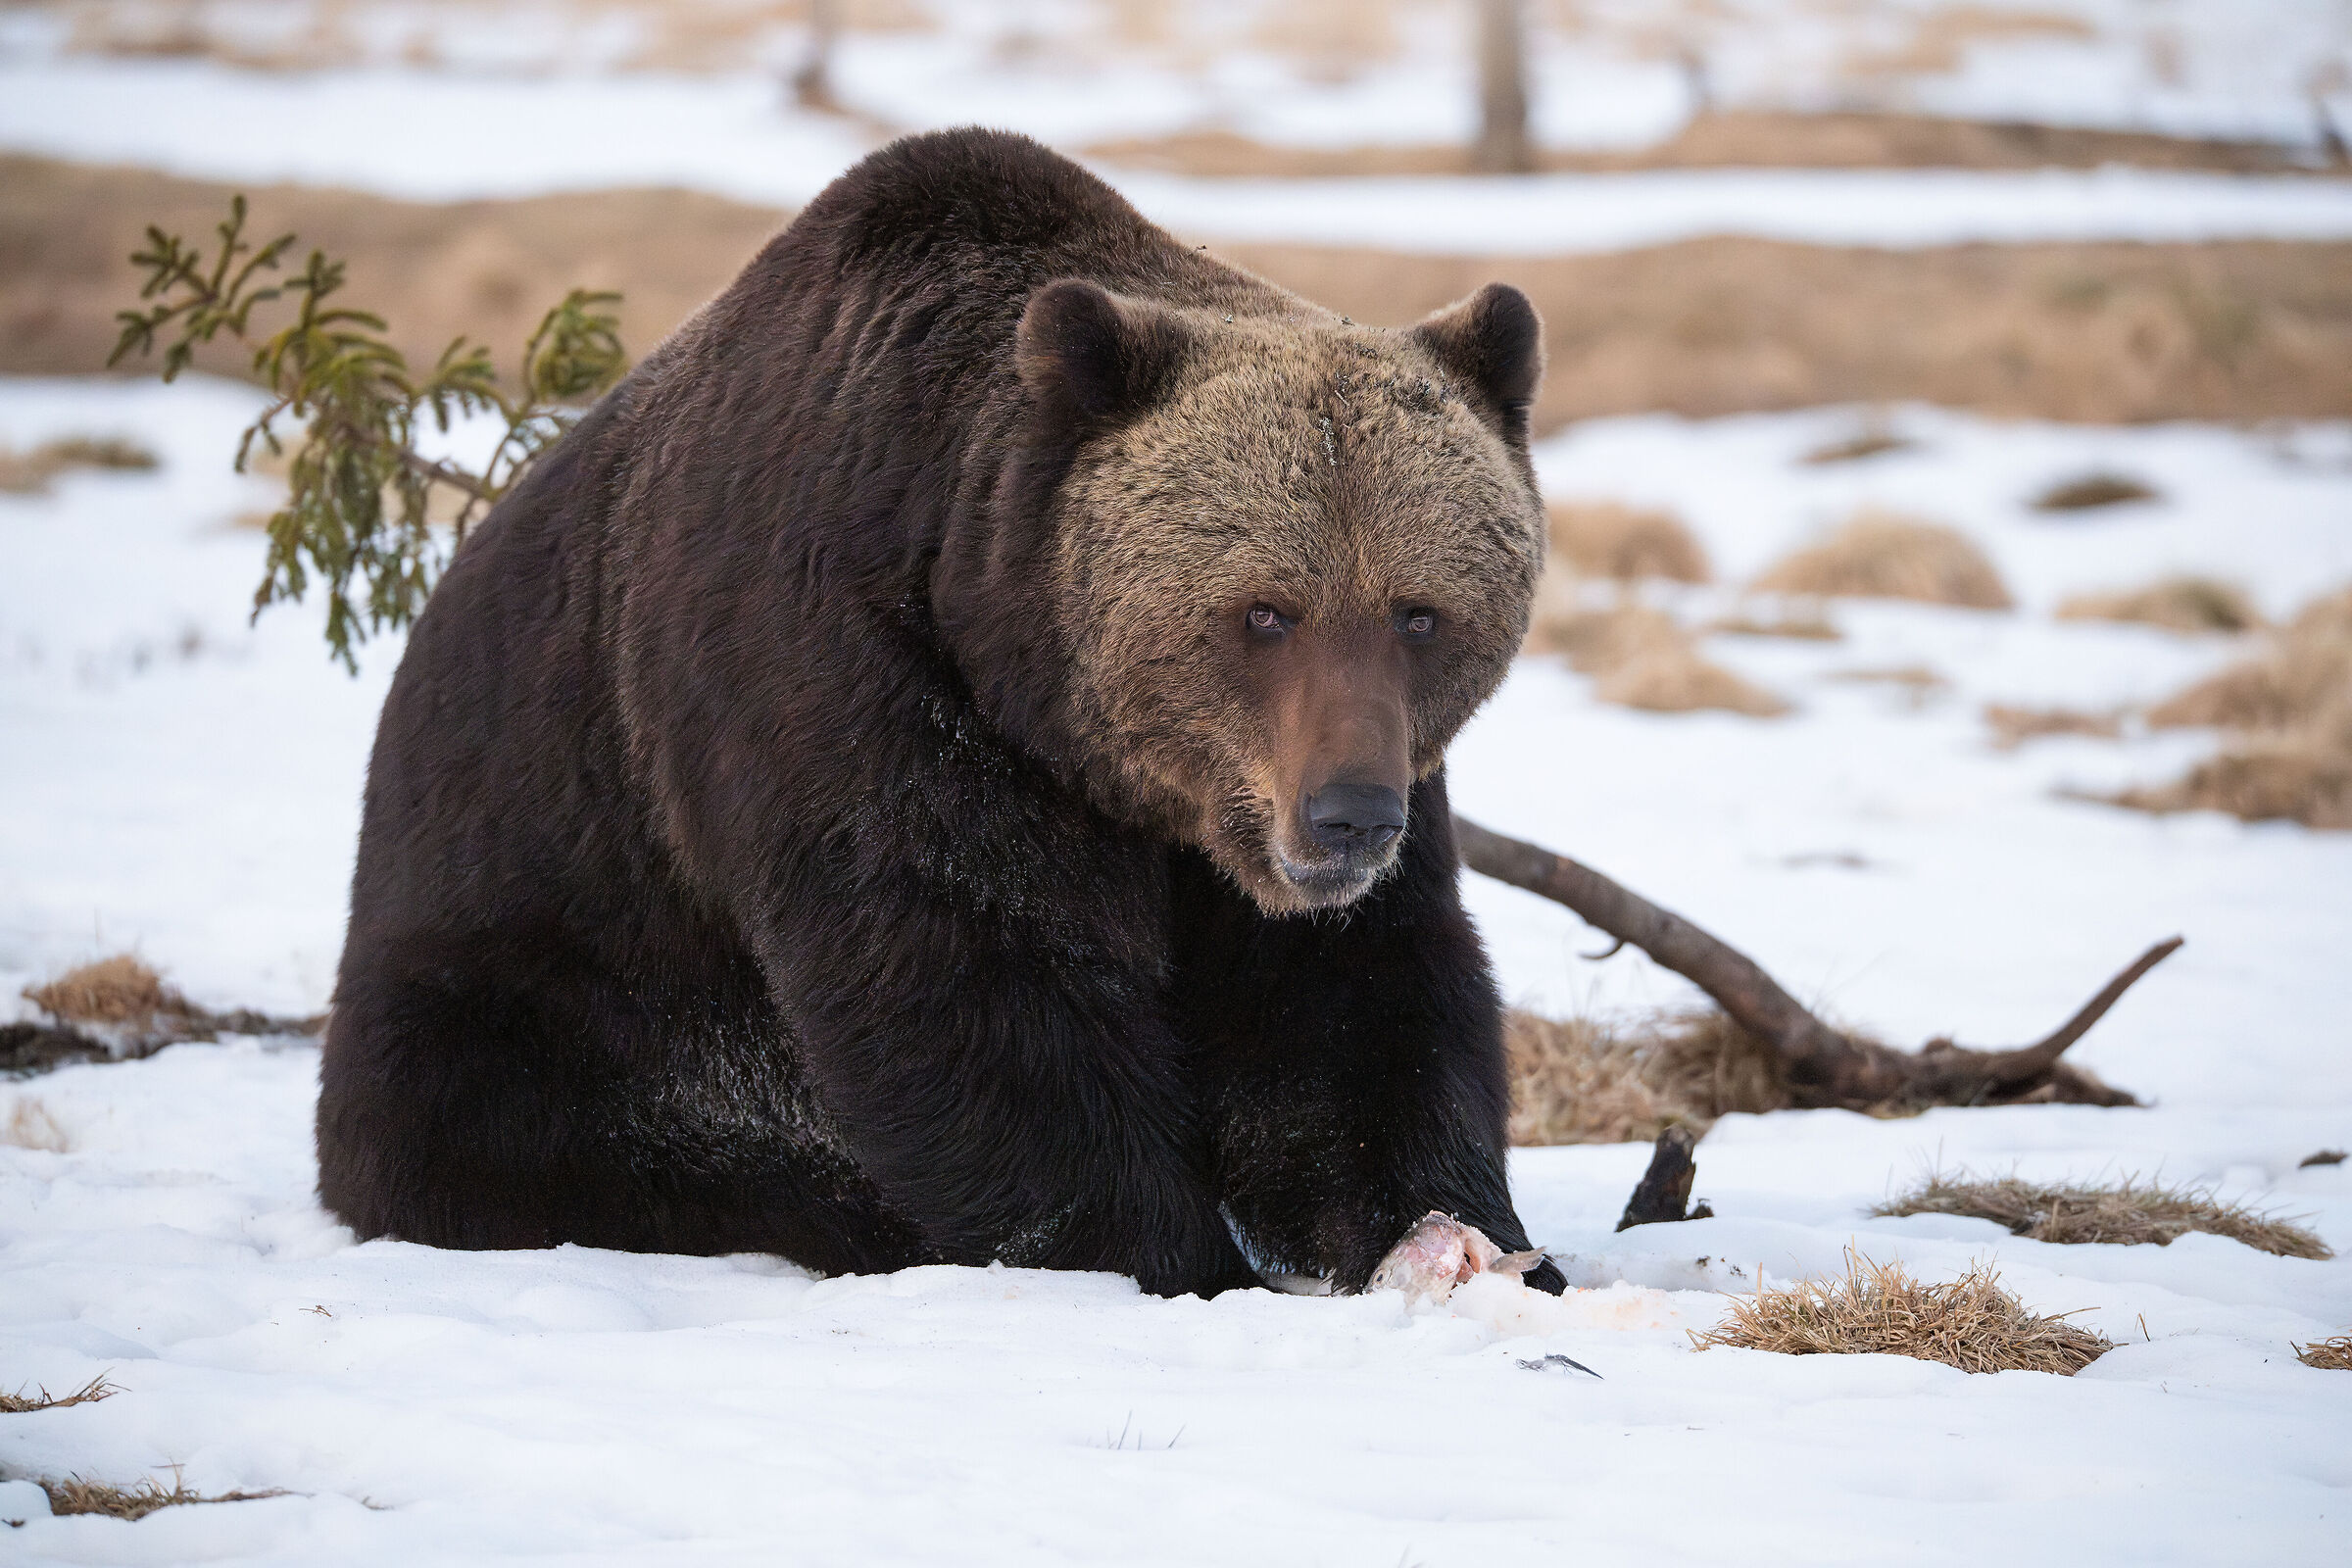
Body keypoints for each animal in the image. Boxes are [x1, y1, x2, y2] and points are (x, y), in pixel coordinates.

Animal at [315, 127, 1565, 1300]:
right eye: (1264, 611)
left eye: (1419, 613)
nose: (1349, 815)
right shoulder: (847, 678)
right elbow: (965, 977)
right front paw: (1169, 1254)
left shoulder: (1280, 824)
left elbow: (1349, 1006)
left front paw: (1466, 1238)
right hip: (548, 939)